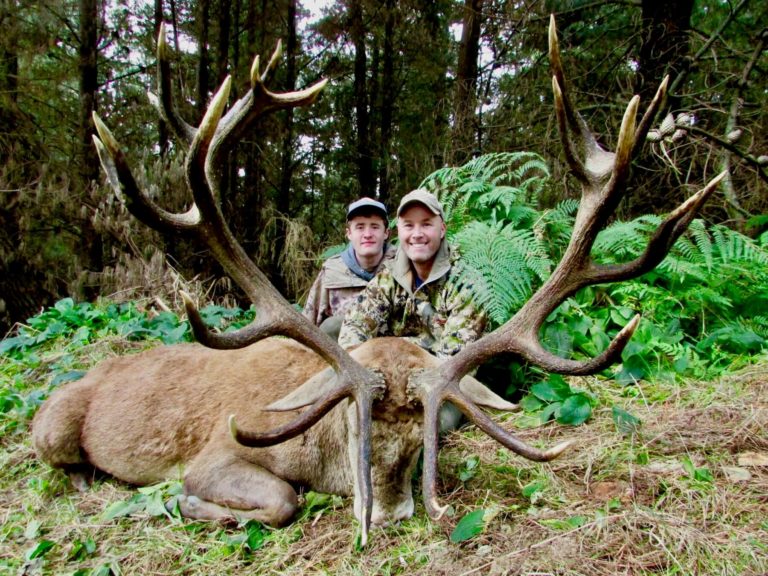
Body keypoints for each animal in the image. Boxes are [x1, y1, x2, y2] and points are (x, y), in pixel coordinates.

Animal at [32, 16, 725, 546]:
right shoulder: (215, 454)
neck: (318, 449)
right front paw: (192, 504)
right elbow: (277, 499)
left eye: (422, 443)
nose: (388, 515)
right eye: (355, 427)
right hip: (52, 425)